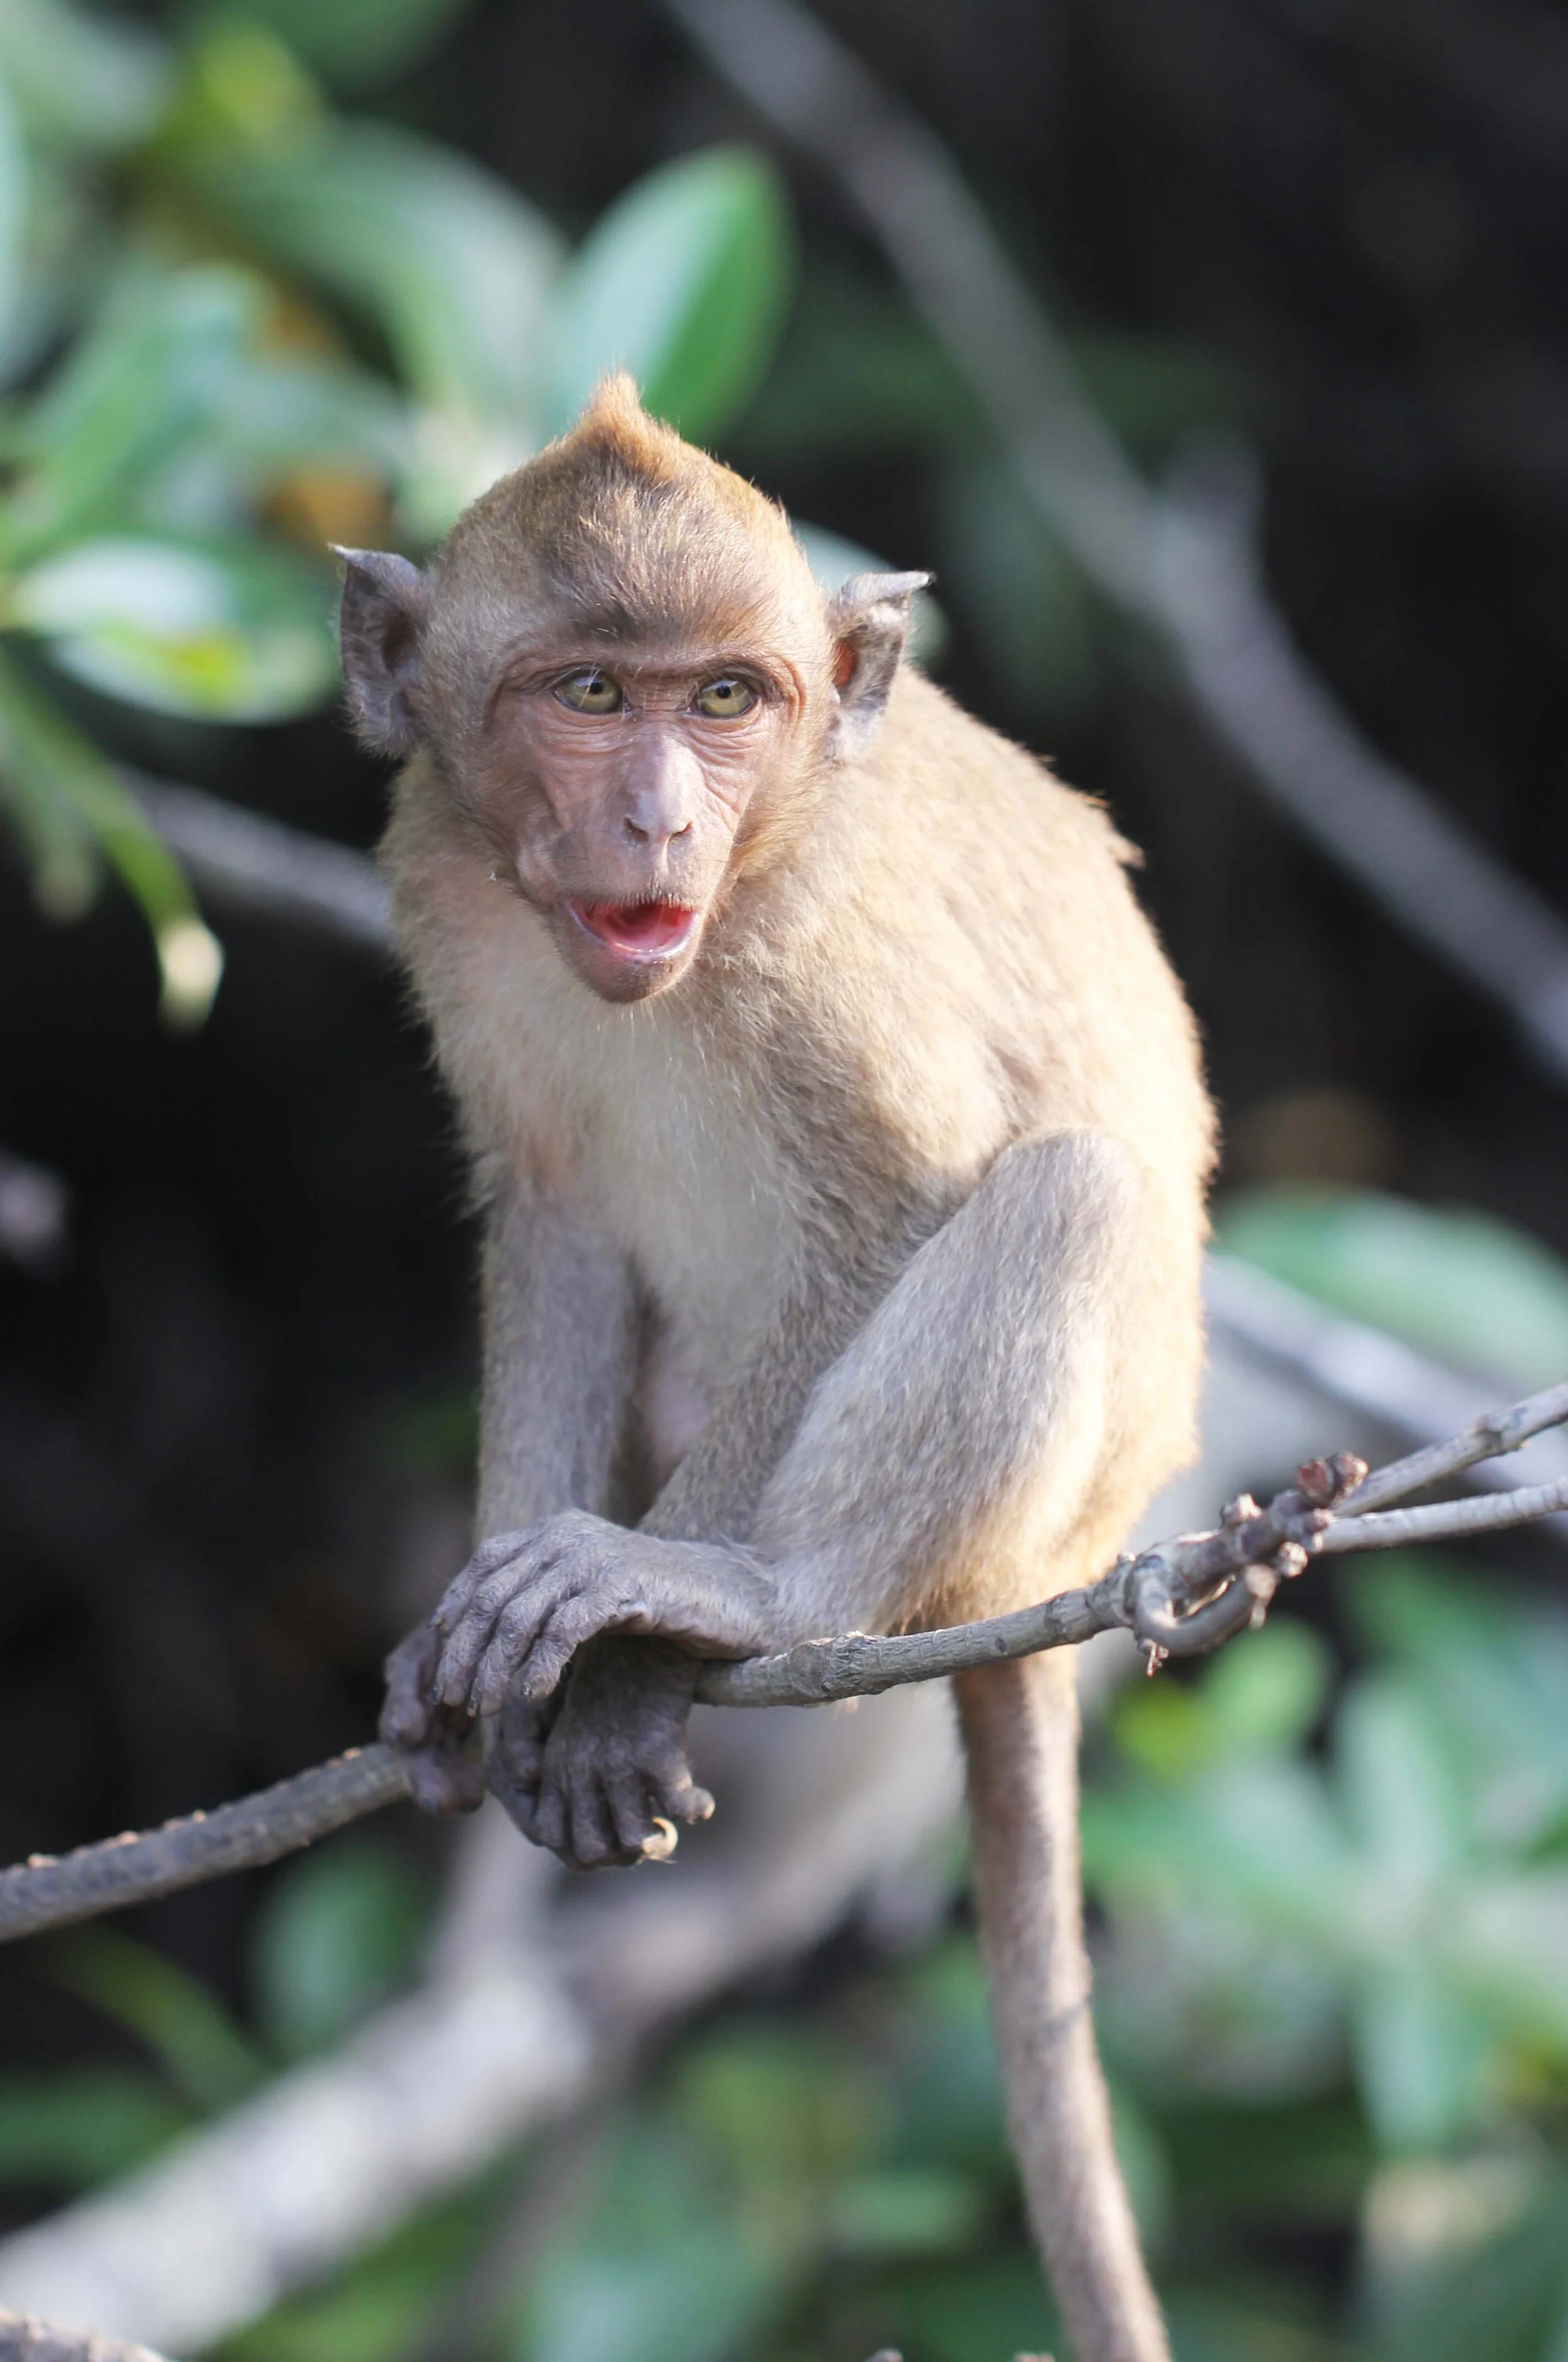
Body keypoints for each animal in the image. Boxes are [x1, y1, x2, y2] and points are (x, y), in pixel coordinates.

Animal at [337, 373, 1212, 2362]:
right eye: (593, 694)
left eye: (725, 701)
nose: (660, 822)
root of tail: (1082, 1559)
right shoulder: (443, 886)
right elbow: (556, 1219)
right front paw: (483, 1652)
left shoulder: (814, 955)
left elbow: (900, 1200)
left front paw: (624, 1625)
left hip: (1041, 1506)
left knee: (1063, 1190)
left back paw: (736, 1599)